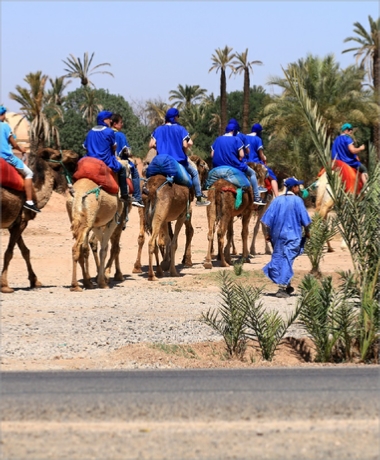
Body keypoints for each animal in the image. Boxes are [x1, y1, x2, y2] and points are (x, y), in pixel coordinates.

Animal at [0, 147, 79, 292]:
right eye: (57, 155)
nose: (74, 154)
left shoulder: (14, 224)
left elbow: (25, 251)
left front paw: (35, 281)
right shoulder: (22, 222)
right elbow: (9, 252)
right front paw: (5, 286)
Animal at [65, 160, 131, 292]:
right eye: (129, 170)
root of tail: (78, 194)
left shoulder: (96, 225)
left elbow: (99, 246)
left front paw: (101, 277)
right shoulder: (114, 222)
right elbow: (106, 249)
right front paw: (103, 280)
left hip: (79, 219)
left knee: (79, 247)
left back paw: (86, 282)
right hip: (90, 220)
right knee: (78, 247)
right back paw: (76, 285)